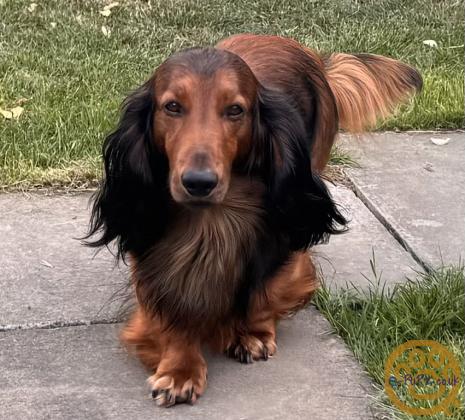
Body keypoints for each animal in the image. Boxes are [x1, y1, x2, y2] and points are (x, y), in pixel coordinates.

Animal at [85, 34, 422, 408]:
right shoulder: (147, 253)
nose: (199, 182)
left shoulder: (289, 238)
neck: (211, 222)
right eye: (172, 107)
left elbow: (267, 289)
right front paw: (180, 368)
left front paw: (252, 332)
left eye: (236, 110)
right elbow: (171, 308)